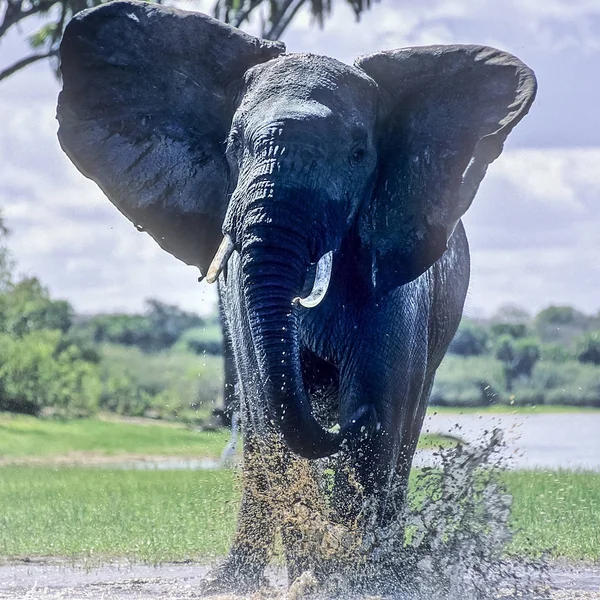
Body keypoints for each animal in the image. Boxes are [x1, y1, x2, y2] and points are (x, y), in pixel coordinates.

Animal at [55, 0, 536, 592]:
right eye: (234, 143)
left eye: (358, 154)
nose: (345, 421)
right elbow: (271, 411)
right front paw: (314, 577)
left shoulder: (394, 283)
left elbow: (379, 405)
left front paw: (353, 581)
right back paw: (233, 582)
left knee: (407, 416)